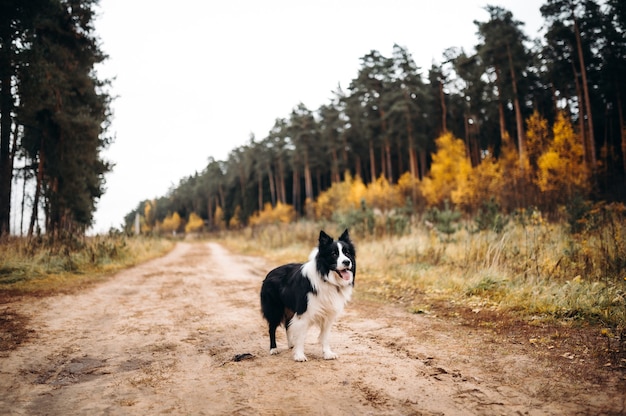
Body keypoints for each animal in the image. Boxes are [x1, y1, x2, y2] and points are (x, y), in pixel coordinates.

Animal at [260, 229, 356, 362]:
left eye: (347, 253)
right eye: (333, 254)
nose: (347, 262)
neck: (326, 278)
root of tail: (269, 274)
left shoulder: (328, 314)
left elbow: (325, 336)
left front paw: (327, 353)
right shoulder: (303, 312)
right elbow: (301, 336)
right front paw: (299, 355)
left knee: (287, 325)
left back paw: (291, 344)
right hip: (275, 309)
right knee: (272, 328)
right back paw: (273, 349)